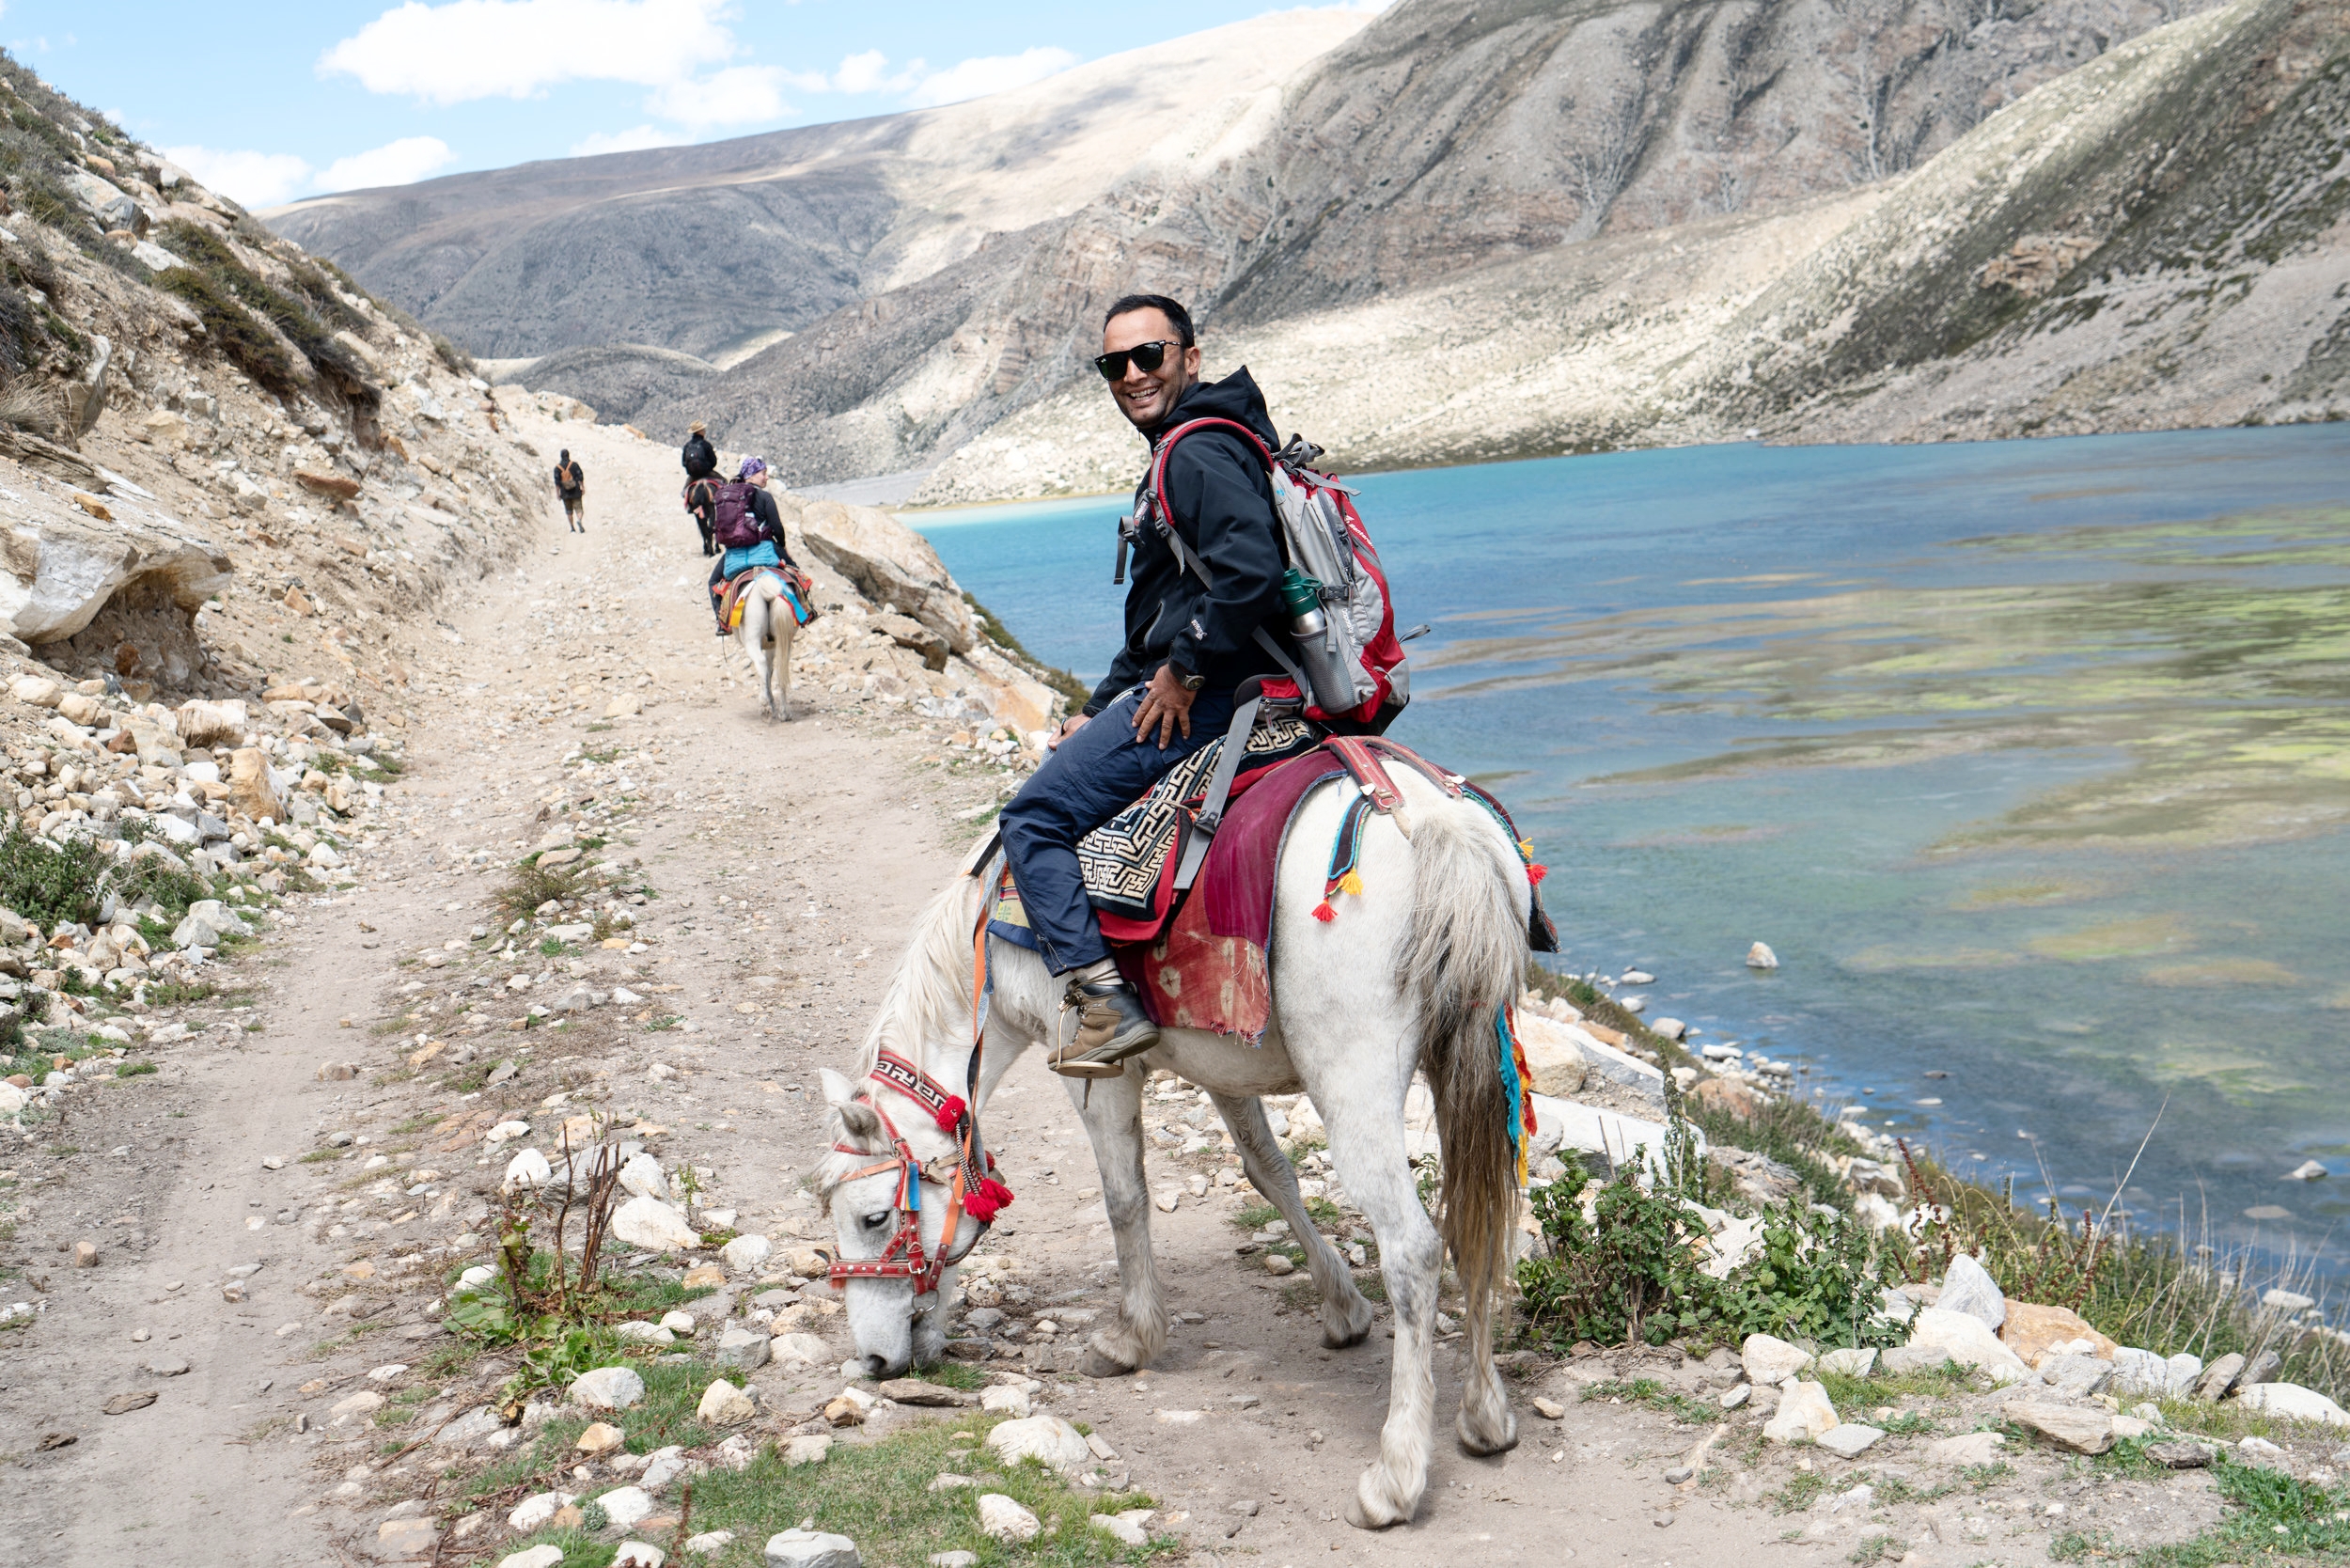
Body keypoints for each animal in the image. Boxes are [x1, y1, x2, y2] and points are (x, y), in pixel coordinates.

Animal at [733, 573, 799, 719]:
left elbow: (767, 669)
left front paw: (769, 703)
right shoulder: (772, 645)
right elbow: (771, 670)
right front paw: (773, 705)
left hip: (751, 640)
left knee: (761, 662)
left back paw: (764, 704)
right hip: (783, 639)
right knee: (781, 667)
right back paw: (784, 713)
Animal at [818, 771, 1532, 1532]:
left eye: (872, 1217)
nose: (872, 1359)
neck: (991, 943)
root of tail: (1430, 824)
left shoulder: (1095, 1073)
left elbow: (1125, 1199)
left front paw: (1130, 1339)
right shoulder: (1224, 1061)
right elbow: (1269, 1171)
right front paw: (1343, 1309)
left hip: (1355, 1083)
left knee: (1414, 1251)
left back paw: (1396, 1476)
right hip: (1468, 1064)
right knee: (1476, 1223)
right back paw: (1485, 1418)